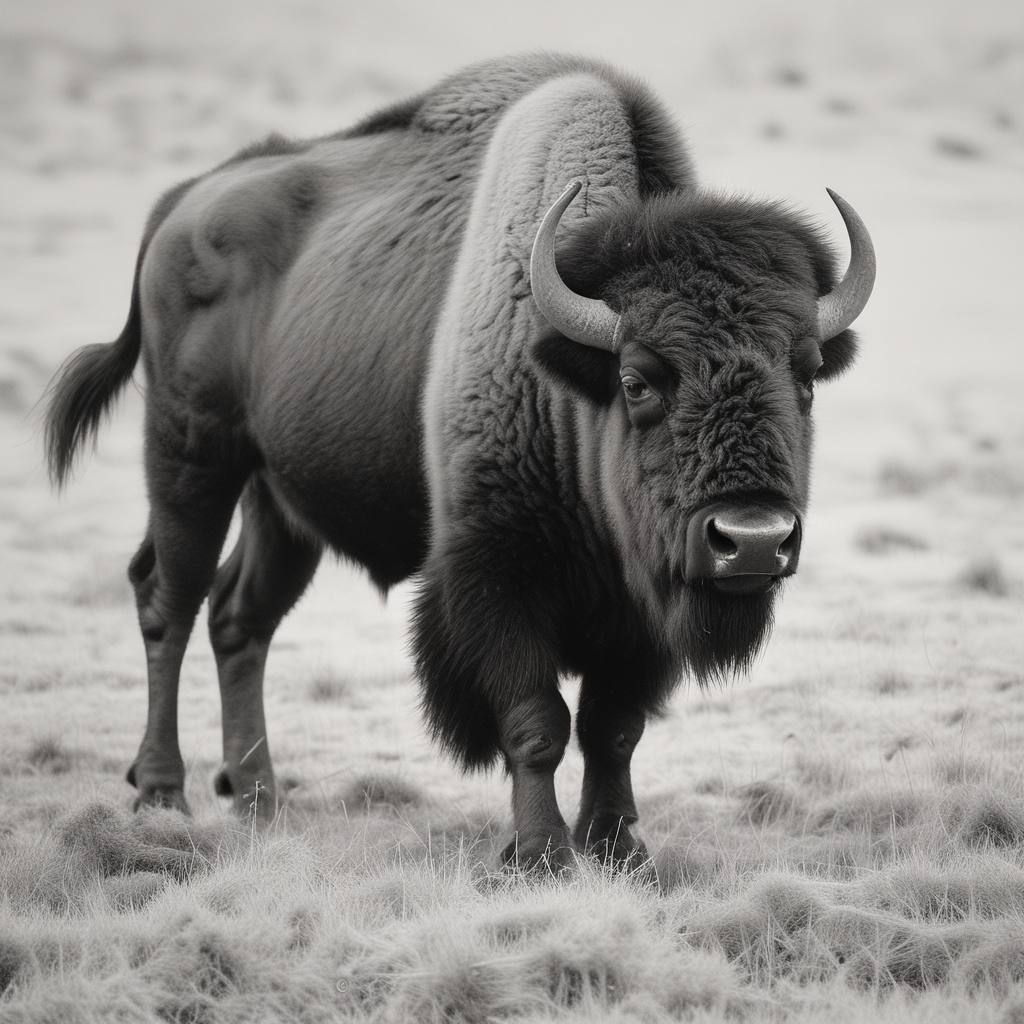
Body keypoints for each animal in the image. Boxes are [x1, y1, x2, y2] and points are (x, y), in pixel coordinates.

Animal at [46, 53, 874, 870]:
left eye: (806, 374)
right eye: (638, 380)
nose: (753, 540)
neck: (567, 379)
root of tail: (186, 202)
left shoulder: (640, 609)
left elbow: (614, 727)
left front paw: (618, 846)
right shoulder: (496, 578)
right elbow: (536, 723)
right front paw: (539, 854)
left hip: (279, 504)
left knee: (239, 617)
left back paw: (258, 798)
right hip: (190, 461)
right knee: (171, 601)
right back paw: (162, 794)